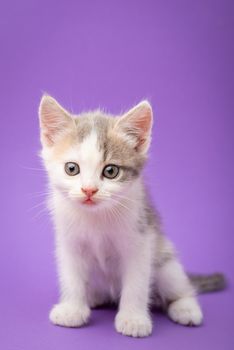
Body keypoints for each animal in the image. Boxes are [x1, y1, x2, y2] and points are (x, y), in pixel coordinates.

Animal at [38, 95, 225, 336]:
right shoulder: (69, 242)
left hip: (165, 262)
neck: (96, 216)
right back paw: (94, 297)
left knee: (181, 286)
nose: (89, 190)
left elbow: (136, 283)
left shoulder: (141, 239)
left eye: (110, 171)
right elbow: (71, 276)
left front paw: (133, 319)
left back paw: (186, 308)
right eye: (72, 168)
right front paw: (72, 310)